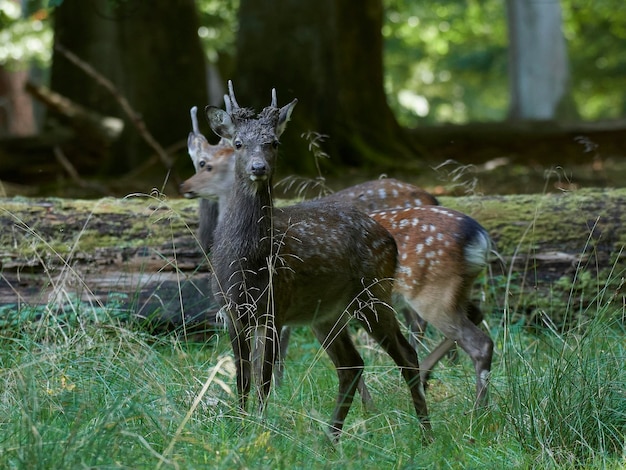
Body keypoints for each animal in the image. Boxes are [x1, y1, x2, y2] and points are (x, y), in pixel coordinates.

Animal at [195, 82, 428, 438]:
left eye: (274, 142)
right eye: (238, 143)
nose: (258, 168)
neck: (246, 260)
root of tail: (390, 240)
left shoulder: (275, 306)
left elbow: (263, 380)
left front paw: (260, 429)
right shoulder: (231, 311)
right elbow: (242, 379)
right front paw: (240, 426)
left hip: (373, 293)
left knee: (406, 353)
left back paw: (426, 434)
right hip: (328, 313)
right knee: (352, 364)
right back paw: (331, 438)